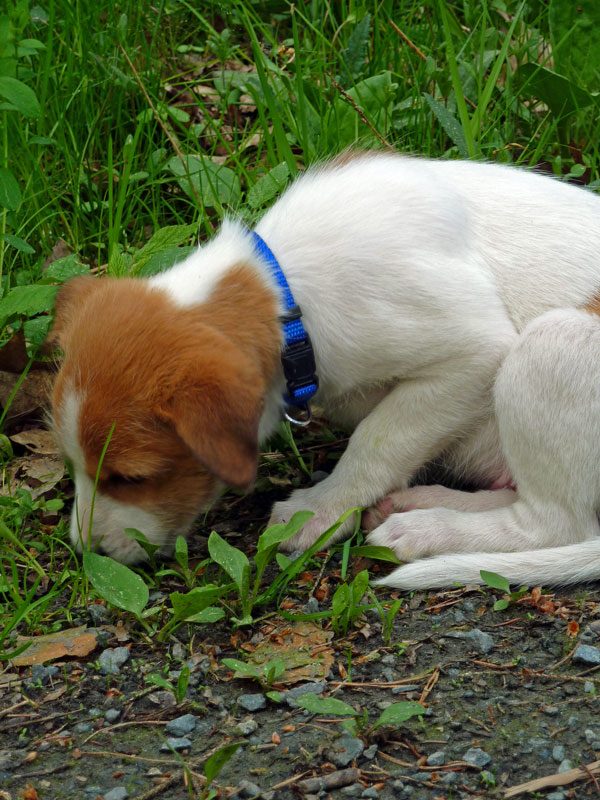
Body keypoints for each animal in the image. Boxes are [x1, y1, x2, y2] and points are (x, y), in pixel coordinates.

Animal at [50, 151, 600, 588]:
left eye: (131, 477)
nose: (86, 553)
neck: (286, 296)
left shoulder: (476, 352)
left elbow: (376, 441)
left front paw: (321, 510)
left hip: (548, 346)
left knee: (555, 525)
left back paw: (430, 528)